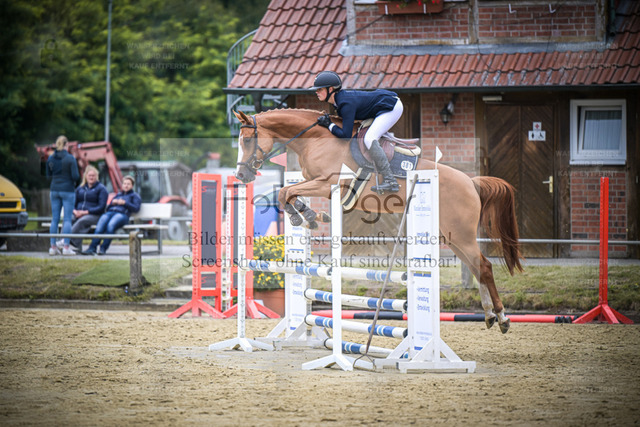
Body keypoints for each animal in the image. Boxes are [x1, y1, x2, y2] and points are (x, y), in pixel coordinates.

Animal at [233, 109, 523, 333]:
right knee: (476, 268)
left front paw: (307, 216)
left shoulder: (328, 183)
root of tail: (471, 182)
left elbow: (286, 192)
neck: (317, 139)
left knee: (484, 266)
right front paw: (310, 216)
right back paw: (489, 316)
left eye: (246, 140)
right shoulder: (317, 183)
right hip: (451, 237)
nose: (241, 175)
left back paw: (503, 318)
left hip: (460, 233)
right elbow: (288, 192)